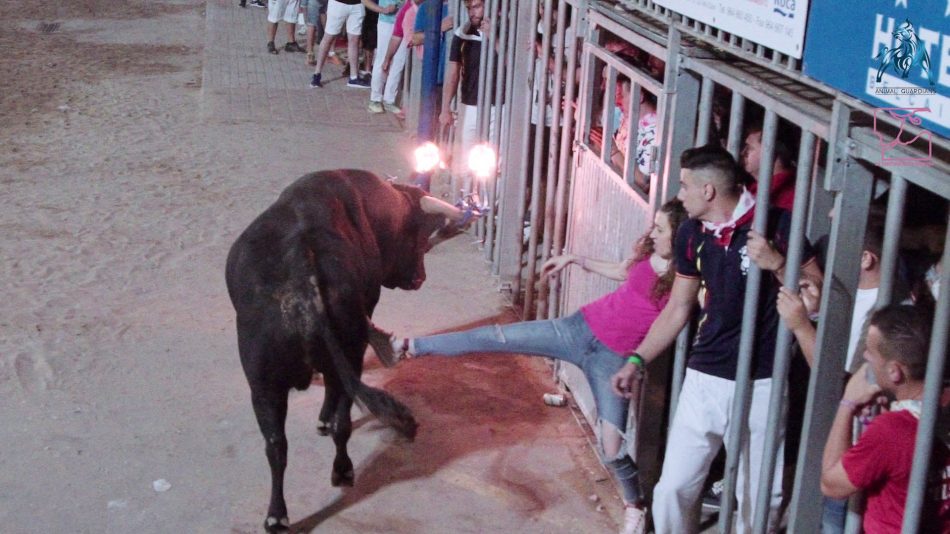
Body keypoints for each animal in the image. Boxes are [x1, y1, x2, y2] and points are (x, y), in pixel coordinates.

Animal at [227, 171, 458, 532]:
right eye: (417, 236)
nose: (420, 277)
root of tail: (305, 276)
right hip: (340, 355)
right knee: (337, 420)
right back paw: (341, 469)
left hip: (263, 384)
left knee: (276, 444)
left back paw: (278, 515)